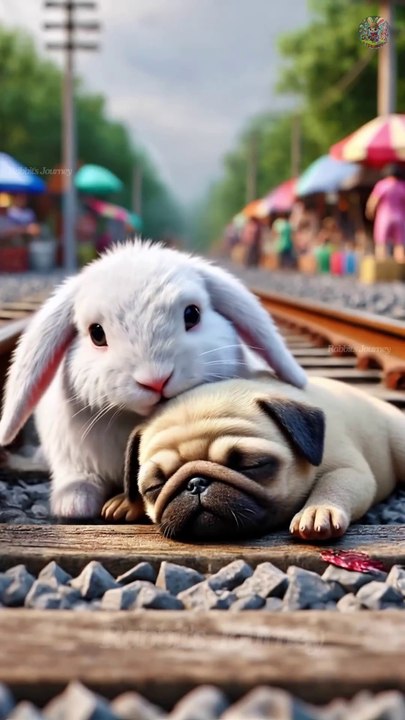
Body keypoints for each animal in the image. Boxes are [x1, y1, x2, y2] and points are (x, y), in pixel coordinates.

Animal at [0, 239, 306, 518]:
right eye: (96, 333)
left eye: (192, 314)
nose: (156, 380)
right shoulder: (71, 454)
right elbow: (78, 478)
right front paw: (74, 504)